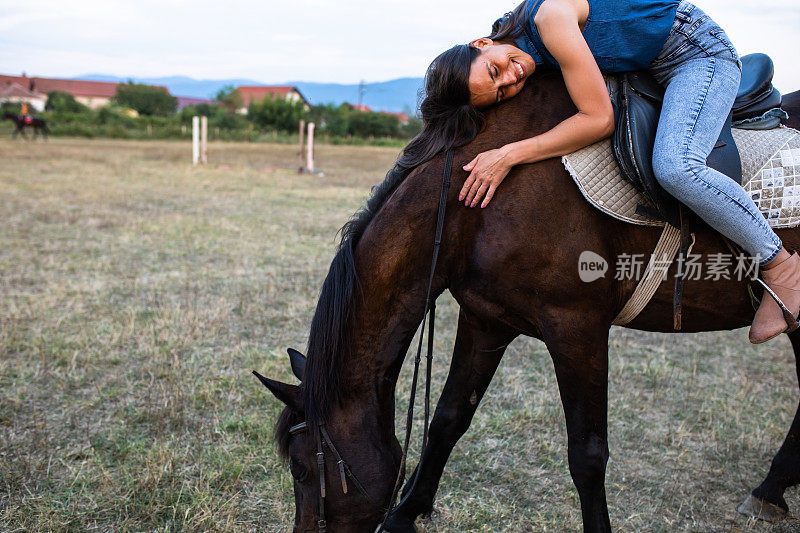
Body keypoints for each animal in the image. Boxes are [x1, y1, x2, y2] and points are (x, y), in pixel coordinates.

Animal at [255, 71, 800, 532]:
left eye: (302, 469)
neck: (476, 204)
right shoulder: (485, 319)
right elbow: (448, 419)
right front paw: (404, 515)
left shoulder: (577, 329)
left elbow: (587, 456)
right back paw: (770, 491)